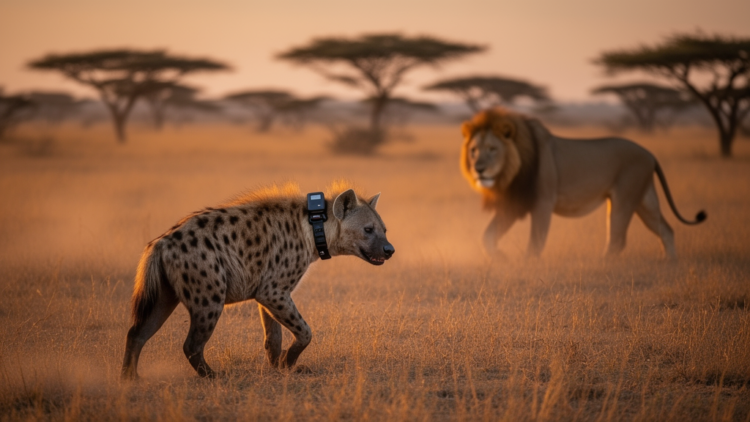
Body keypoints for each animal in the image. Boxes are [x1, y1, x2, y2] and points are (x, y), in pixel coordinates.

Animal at [460, 107, 706, 259]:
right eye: (474, 150)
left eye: (492, 149)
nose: (478, 169)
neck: (513, 169)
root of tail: (650, 153)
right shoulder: (514, 202)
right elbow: (487, 236)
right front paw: (501, 259)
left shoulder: (543, 202)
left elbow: (536, 241)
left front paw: (526, 263)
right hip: (645, 200)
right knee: (666, 229)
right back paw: (670, 263)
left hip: (624, 198)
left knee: (617, 239)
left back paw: (601, 264)